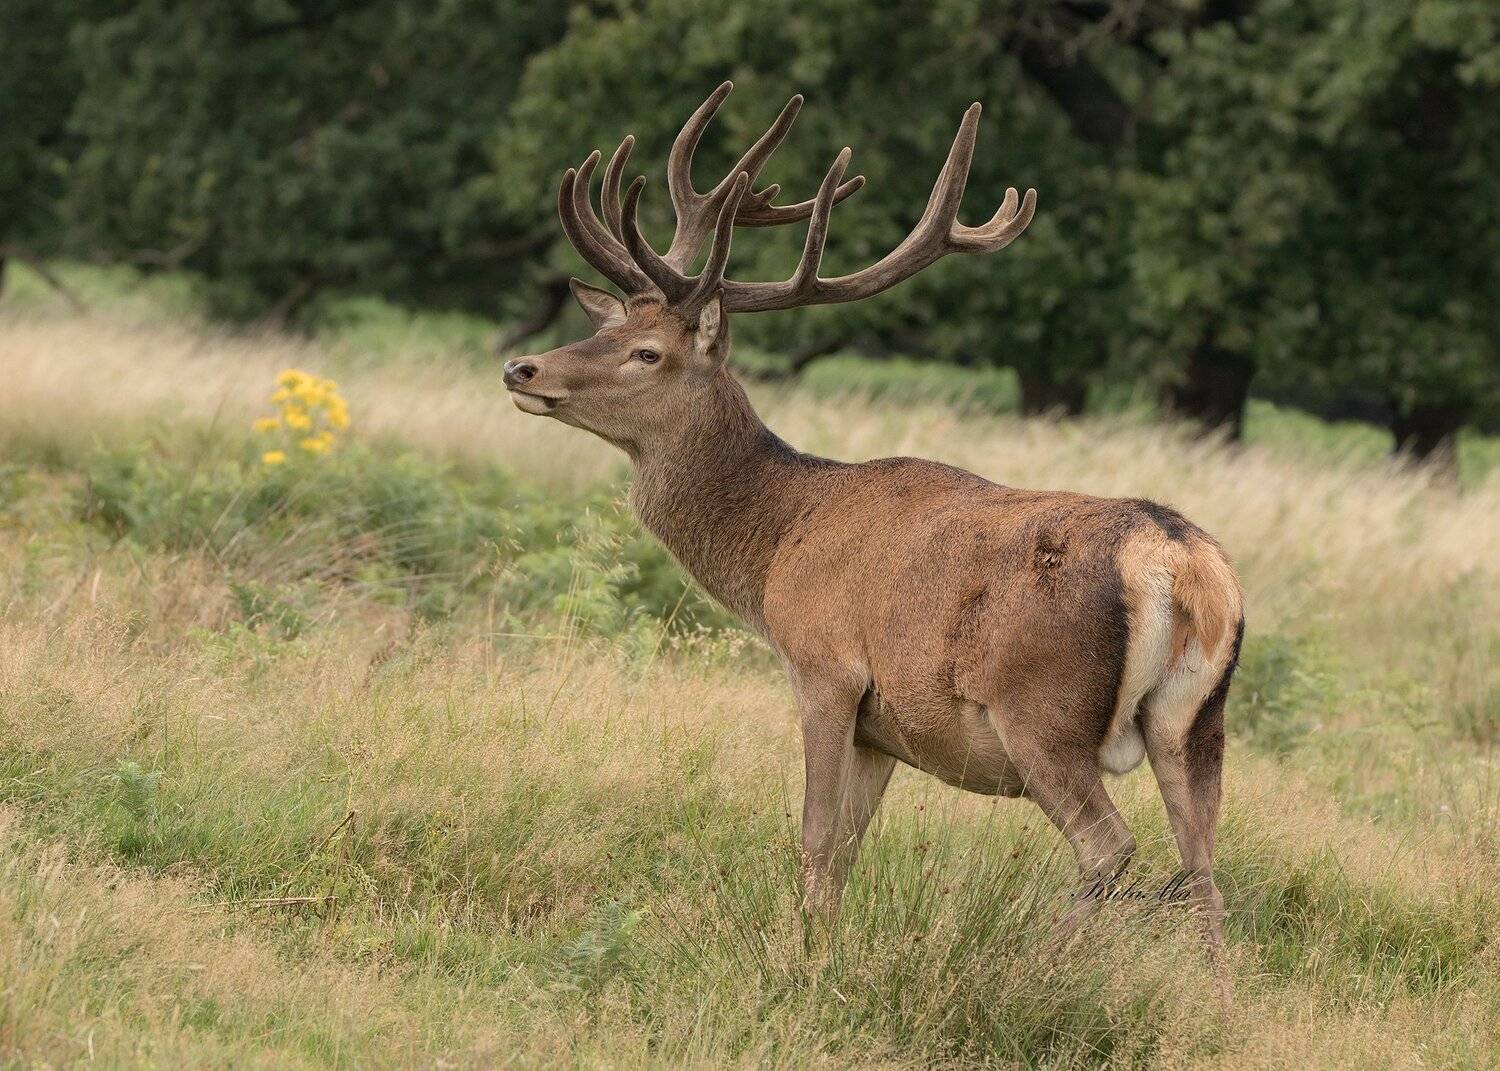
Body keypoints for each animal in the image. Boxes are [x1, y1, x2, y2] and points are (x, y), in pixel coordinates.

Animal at [503, 83, 1245, 1000]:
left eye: (647, 352)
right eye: (605, 331)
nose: (523, 368)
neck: (778, 544)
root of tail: (1182, 562)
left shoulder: (826, 667)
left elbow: (816, 840)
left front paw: (802, 964)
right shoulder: (885, 726)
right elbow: (848, 851)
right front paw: (824, 949)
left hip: (1043, 710)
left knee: (1112, 847)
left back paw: (1020, 967)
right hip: (1197, 723)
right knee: (1207, 872)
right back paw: (1221, 1010)